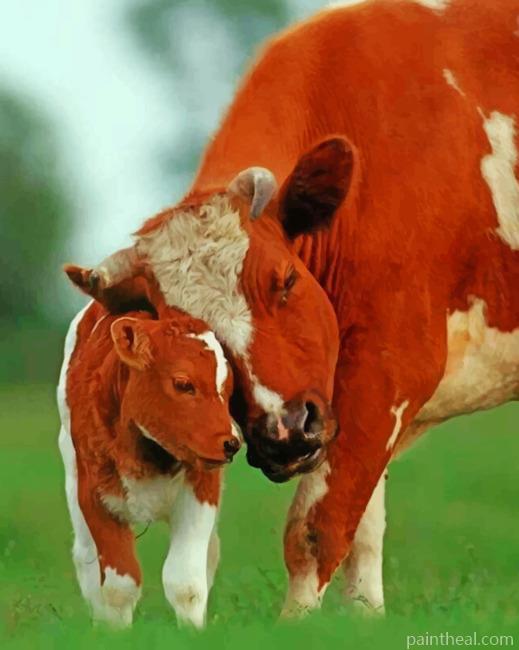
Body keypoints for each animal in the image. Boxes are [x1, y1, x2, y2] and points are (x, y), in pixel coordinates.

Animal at [57, 269, 239, 628]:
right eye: (183, 384)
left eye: (227, 388)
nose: (230, 444)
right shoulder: (94, 497)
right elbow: (119, 586)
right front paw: (116, 632)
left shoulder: (200, 494)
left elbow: (186, 583)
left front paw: (193, 632)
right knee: (85, 557)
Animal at [75, 0, 519, 617]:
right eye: (191, 328)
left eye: (283, 279)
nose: (284, 430)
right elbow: (363, 532)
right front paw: (362, 621)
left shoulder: (389, 371)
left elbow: (317, 529)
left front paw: (297, 626)